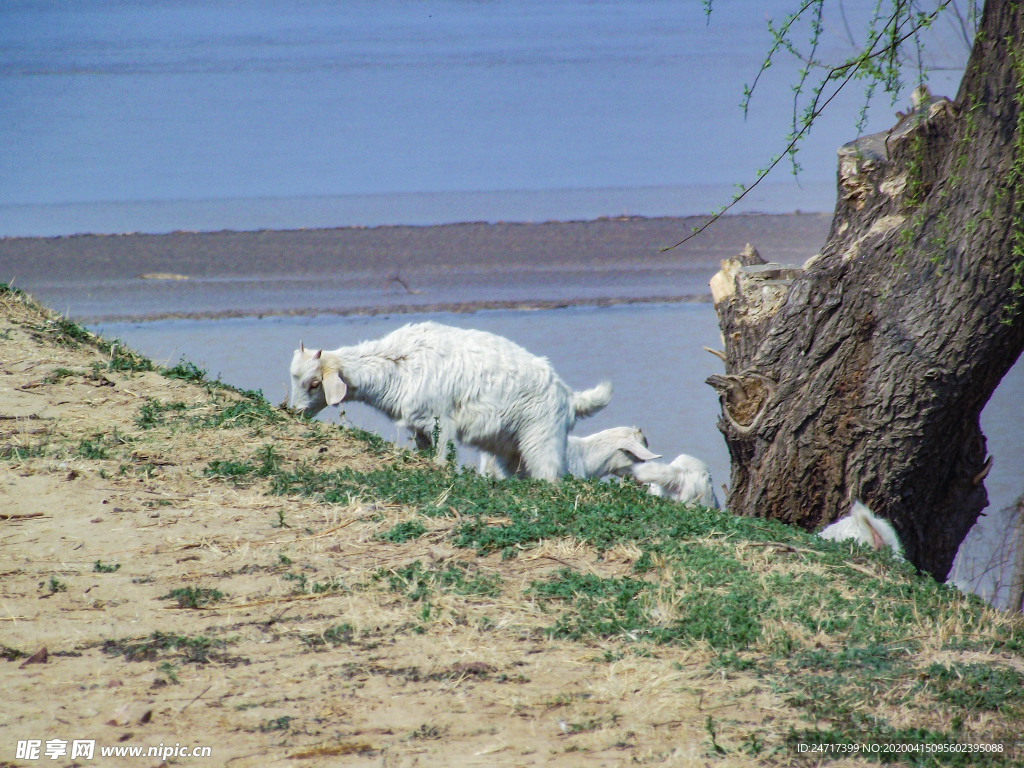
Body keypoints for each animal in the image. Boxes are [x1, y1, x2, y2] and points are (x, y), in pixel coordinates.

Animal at [286, 319, 614, 481]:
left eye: (315, 383)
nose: (293, 412)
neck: (398, 363)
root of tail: (570, 396)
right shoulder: (419, 426)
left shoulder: (441, 421)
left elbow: (443, 458)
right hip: (509, 448)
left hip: (543, 439)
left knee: (551, 475)